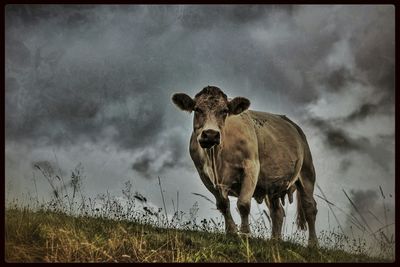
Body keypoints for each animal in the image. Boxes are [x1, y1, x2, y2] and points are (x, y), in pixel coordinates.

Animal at [172, 86, 318, 247]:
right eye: (197, 109)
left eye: (224, 111)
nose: (210, 134)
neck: (216, 156)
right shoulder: (205, 175)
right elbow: (223, 204)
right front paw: (231, 232)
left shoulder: (251, 167)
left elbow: (243, 204)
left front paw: (246, 234)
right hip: (273, 185)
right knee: (277, 212)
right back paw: (275, 240)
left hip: (307, 173)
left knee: (309, 207)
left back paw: (313, 244)